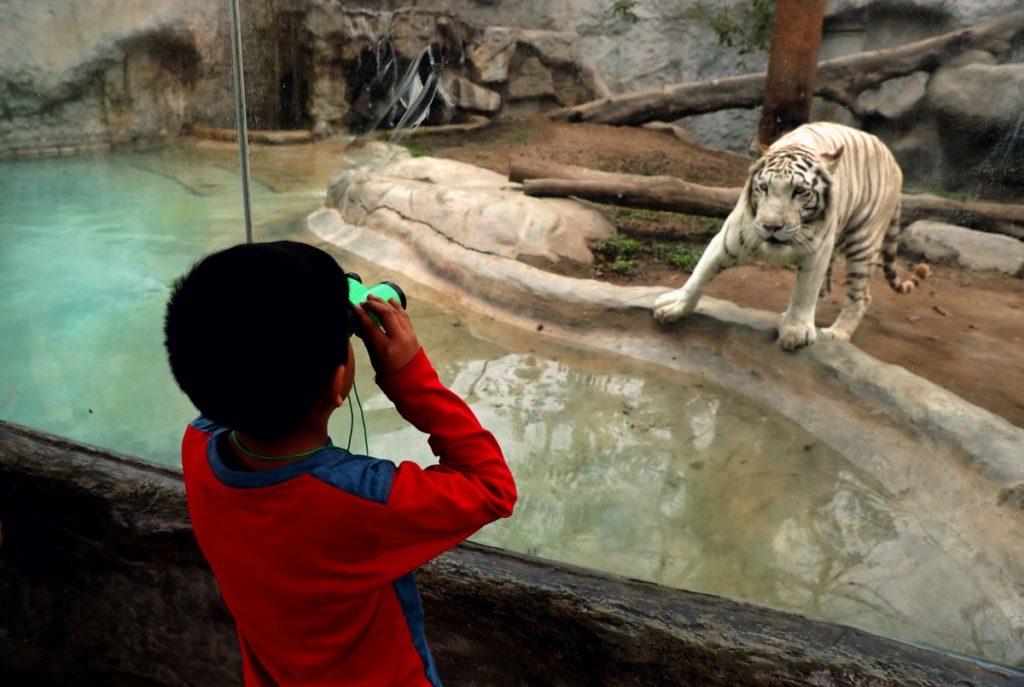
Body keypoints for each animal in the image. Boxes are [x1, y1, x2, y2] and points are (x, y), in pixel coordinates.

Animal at [655, 119, 929, 350]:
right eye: (764, 187)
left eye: (799, 191)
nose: (772, 226)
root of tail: (893, 160)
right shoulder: (729, 237)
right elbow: (701, 271)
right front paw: (675, 306)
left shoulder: (818, 251)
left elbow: (804, 291)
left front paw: (796, 330)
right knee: (827, 288)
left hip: (862, 239)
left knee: (860, 296)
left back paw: (836, 334)